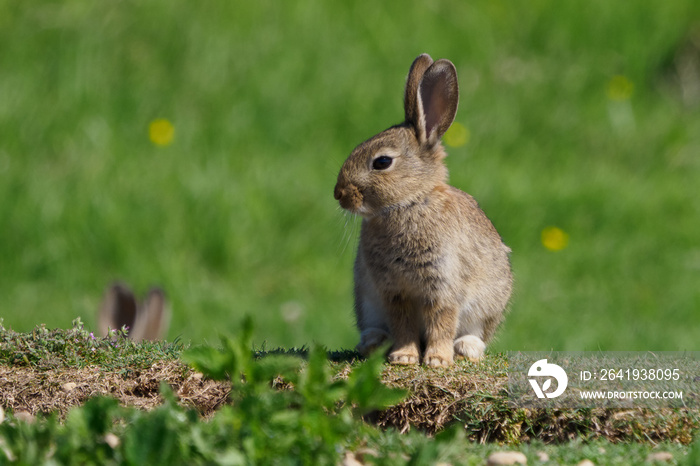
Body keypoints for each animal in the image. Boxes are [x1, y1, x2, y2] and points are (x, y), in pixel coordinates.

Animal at [330, 53, 512, 368]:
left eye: (382, 162)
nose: (339, 194)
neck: (410, 203)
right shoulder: (394, 291)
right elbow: (403, 323)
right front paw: (404, 357)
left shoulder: (443, 285)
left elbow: (442, 321)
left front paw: (437, 360)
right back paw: (375, 342)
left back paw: (466, 347)